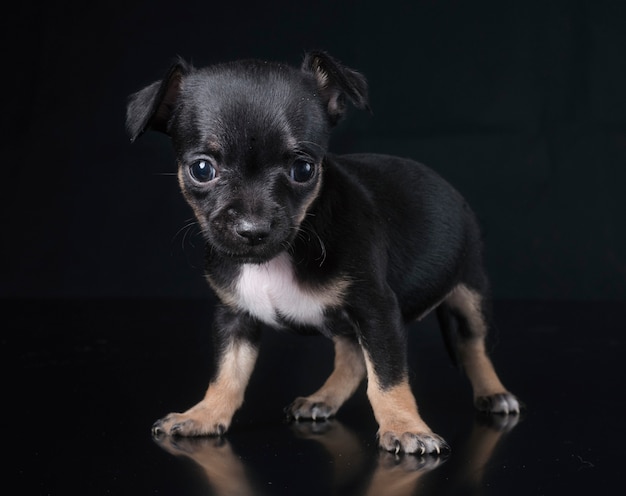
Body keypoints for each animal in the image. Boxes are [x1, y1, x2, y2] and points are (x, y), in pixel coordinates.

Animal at [125, 50, 516, 454]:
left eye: (303, 169)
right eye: (201, 169)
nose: (252, 229)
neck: (281, 255)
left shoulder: (377, 312)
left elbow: (388, 377)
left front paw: (405, 426)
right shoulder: (234, 317)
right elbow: (227, 372)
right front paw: (203, 414)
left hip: (470, 292)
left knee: (473, 345)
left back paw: (494, 393)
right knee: (353, 358)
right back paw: (322, 398)